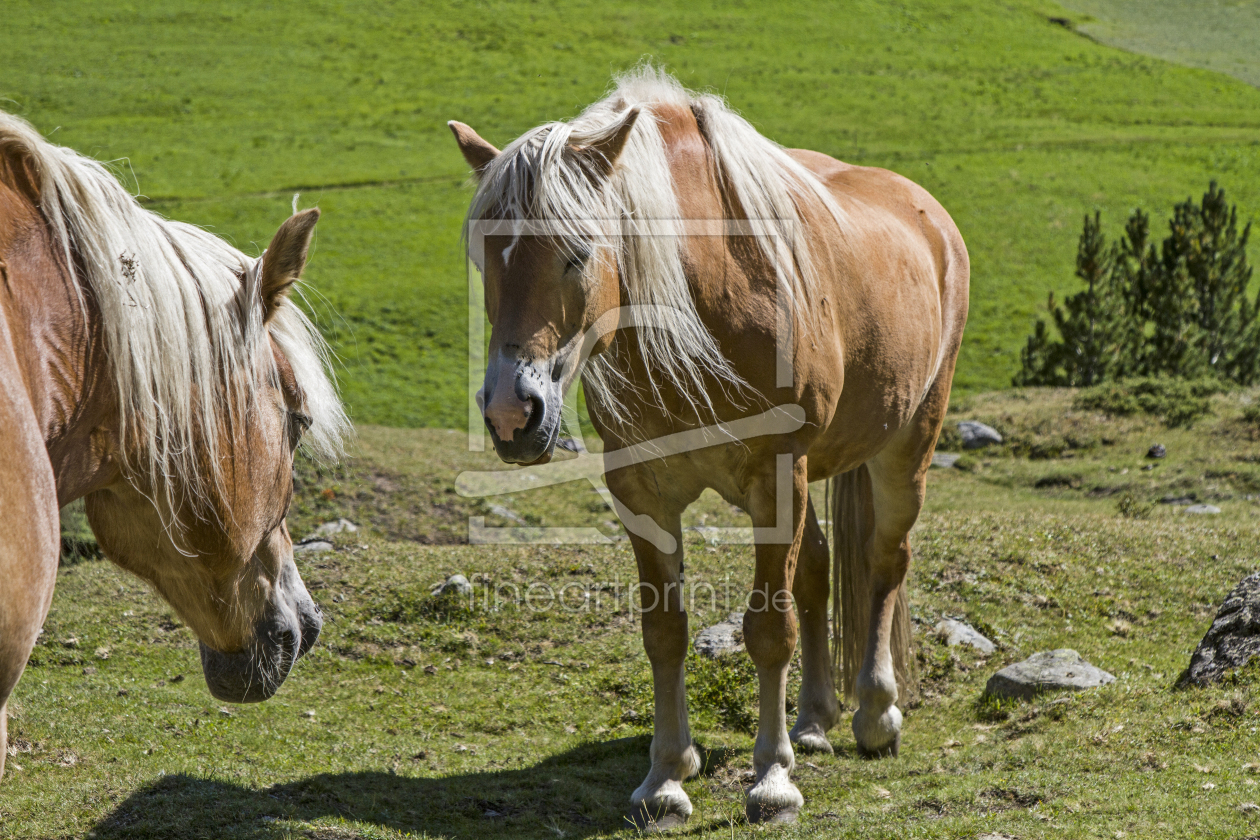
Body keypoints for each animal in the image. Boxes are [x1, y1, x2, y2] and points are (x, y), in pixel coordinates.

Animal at [448, 67, 967, 826]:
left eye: (577, 253)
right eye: (485, 260)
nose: (514, 415)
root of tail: (929, 215)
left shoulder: (776, 476)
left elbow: (769, 630)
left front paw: (772, 780)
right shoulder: (641, 491)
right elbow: (664, 630)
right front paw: (666, 778)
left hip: (905, 448)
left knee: (883, 563)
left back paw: (874, 714)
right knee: (818, 570)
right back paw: (815, 719)